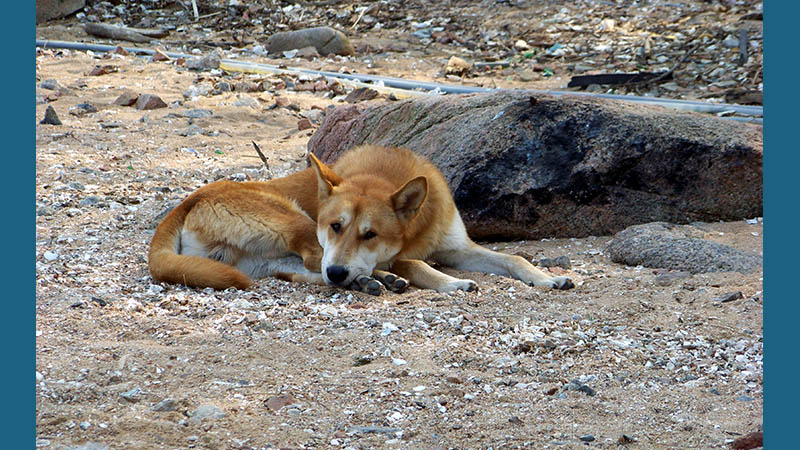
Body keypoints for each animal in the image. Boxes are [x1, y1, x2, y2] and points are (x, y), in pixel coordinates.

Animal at [148, 145, 576, 296]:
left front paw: (545, 277)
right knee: (314, 263)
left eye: (370, 234)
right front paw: (451, 283)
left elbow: (513, 258)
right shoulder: (396, 255)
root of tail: (186, 202)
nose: (340, 271)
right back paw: (373, 280)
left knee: (305, 272)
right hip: (295, 221)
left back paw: (368, 281)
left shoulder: (458, 248)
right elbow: (418, 264)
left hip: (272, 258)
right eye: (335, 226)